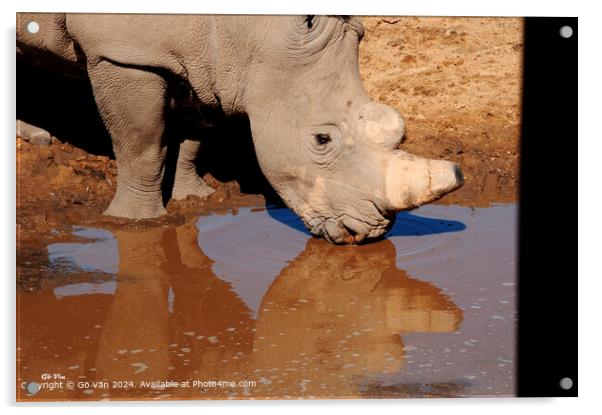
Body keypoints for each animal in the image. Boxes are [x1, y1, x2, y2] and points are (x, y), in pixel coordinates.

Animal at [16, 13, 462, 244]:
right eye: (322, 139)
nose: (367, 234)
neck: (246, 25)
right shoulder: (122, 51)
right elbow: (141, 142)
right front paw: (136, 221)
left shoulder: (209, 62)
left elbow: (194, 133)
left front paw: (195, 196)